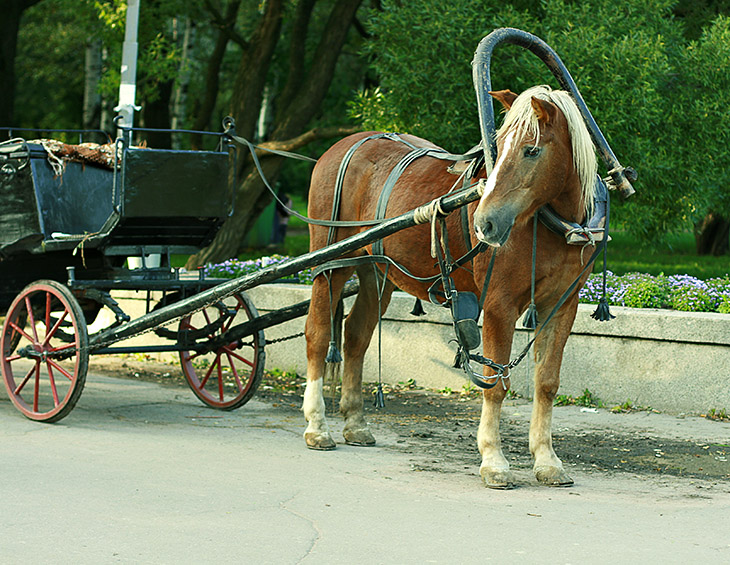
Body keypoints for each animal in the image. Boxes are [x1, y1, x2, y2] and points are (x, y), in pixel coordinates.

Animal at [302, 86, 596, 486]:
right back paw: (317, 424)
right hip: (331, 263)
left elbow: (546, 383)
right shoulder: (499, 305)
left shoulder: (562, 305)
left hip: (375, 272)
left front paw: (547, 460)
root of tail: (344, 144)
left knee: (356, 336)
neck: (554, 225)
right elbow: (495, 382)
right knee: (317, 334)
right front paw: (493, 459)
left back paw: (355, 421)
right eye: (498, 145)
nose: (485, 223)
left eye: (531, 150)